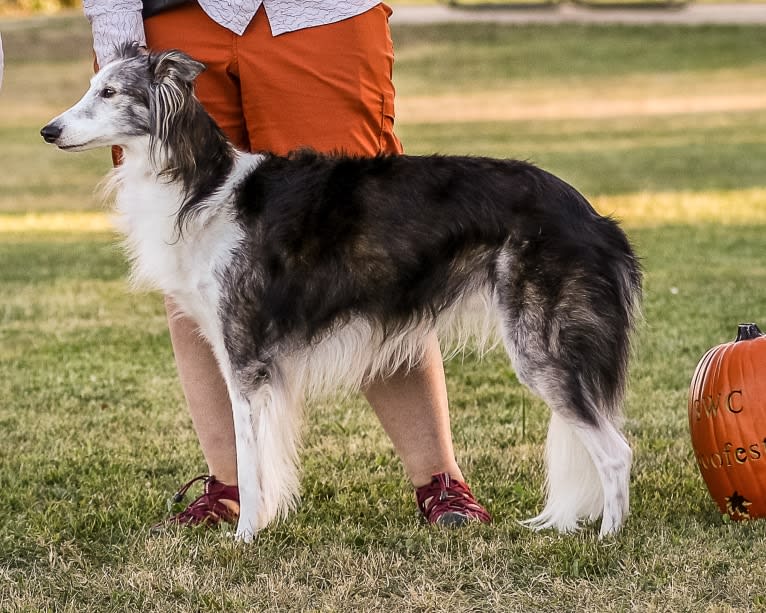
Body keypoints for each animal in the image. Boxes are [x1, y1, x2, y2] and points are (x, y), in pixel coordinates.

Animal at [42, 44, 640, 540]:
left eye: (110, 92)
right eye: (93, 86)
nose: (48, 131)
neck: (203, 187)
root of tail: (592, 216)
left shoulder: (245, 357)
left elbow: (250, 460)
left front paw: (245, 539)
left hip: (541, 348)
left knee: (616, 451)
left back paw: (607, 539)